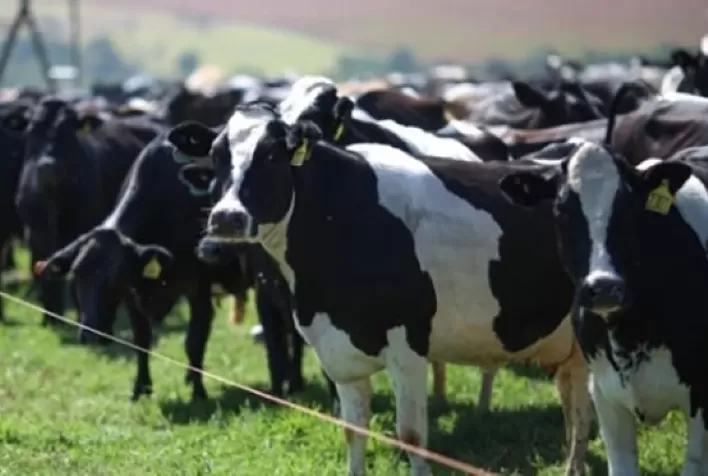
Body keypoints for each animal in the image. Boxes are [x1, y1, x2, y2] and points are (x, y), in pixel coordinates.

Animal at [15, 97, 163, 325]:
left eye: (69, 132)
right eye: (32, 130)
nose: (47, 166)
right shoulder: (36, 236)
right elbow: (44, 275)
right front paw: (51, 319)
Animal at [30, 122, 302, 400]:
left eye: (114, 277)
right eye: (77, 276)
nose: (90, 335)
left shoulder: (198, 291)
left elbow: (194, 342)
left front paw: (198, 391)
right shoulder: (133, 294)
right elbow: (141, 340)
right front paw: (141, 388)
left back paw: (294, 381)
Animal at [189, 113, 592, 475]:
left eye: (271, 155)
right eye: (216, 156)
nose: (226, 217)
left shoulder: (407, 347)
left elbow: (411, 436)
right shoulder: (338, 353)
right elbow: (353, 432)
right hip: (570, 347)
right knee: (576, 411)